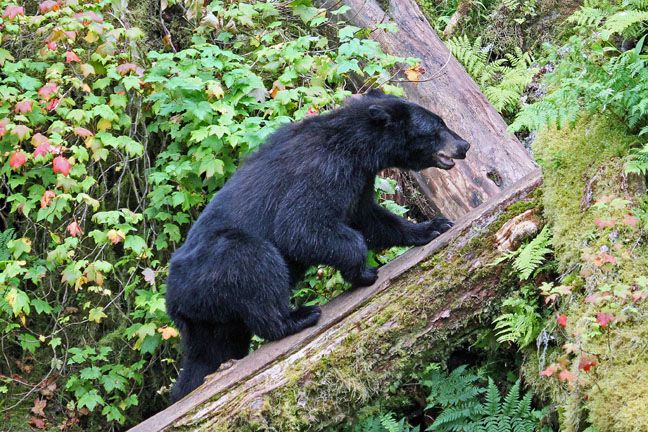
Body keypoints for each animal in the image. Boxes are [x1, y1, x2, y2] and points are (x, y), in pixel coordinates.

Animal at [166, 90, 470, 402]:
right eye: (437, 127)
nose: (464, 145)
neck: (357, 147)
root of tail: (175, 299)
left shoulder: (359, 179)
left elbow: (369, 217)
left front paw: (433, 227)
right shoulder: (324, 168)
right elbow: (300, 227)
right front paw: (363, 272)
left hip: (210, 319)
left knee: (211, 353)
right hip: (217, 265)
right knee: (256, 262)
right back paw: (298, 317)